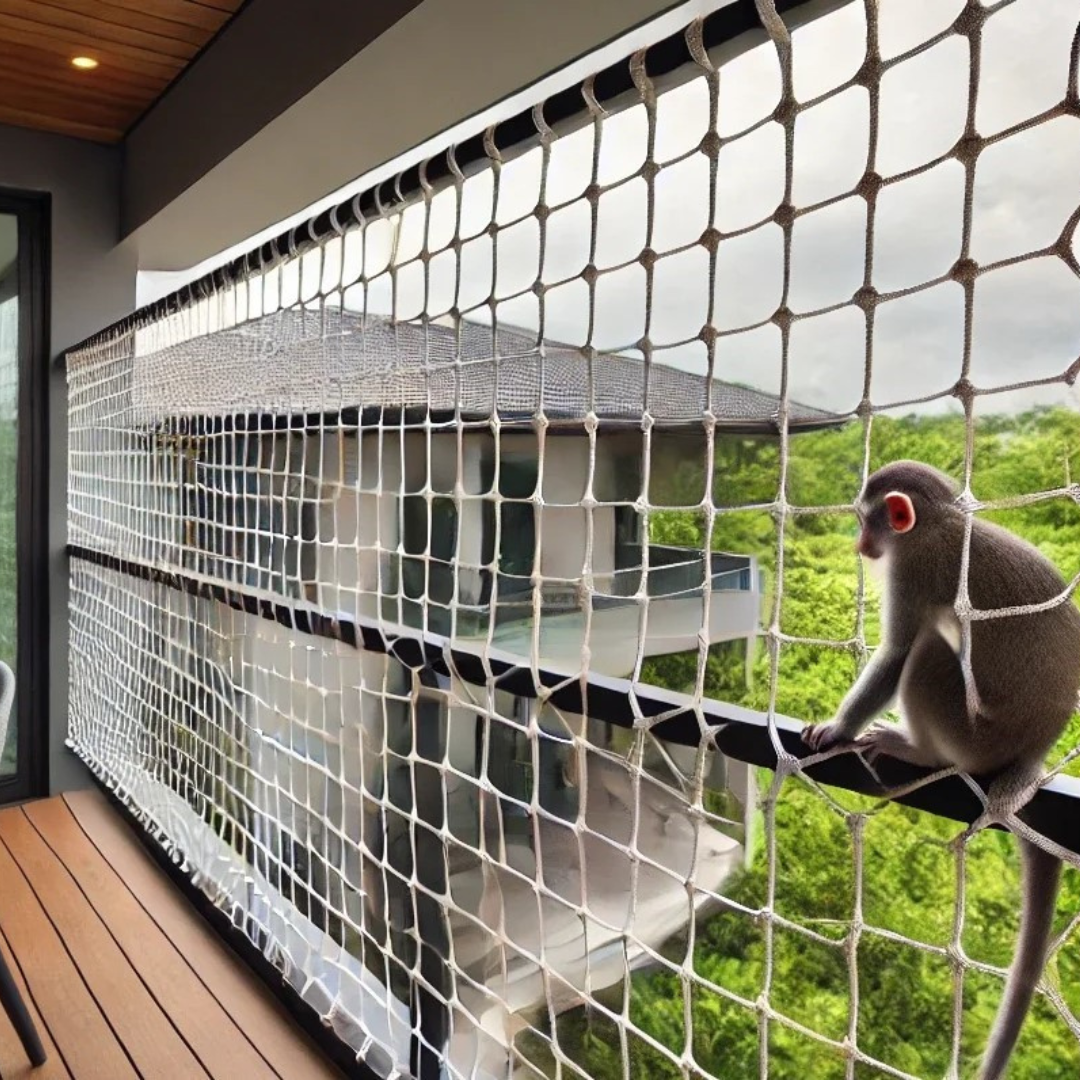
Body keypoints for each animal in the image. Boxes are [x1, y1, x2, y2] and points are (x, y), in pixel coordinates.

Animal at [801, 460, 1080, 1080]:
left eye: (867, 522)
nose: (860, 545)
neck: (943, 521)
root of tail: (1031, 750)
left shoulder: (914, 569)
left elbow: (900, 653)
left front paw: (839, 728)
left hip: (973, 732)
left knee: (928, 650)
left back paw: (921, 753)